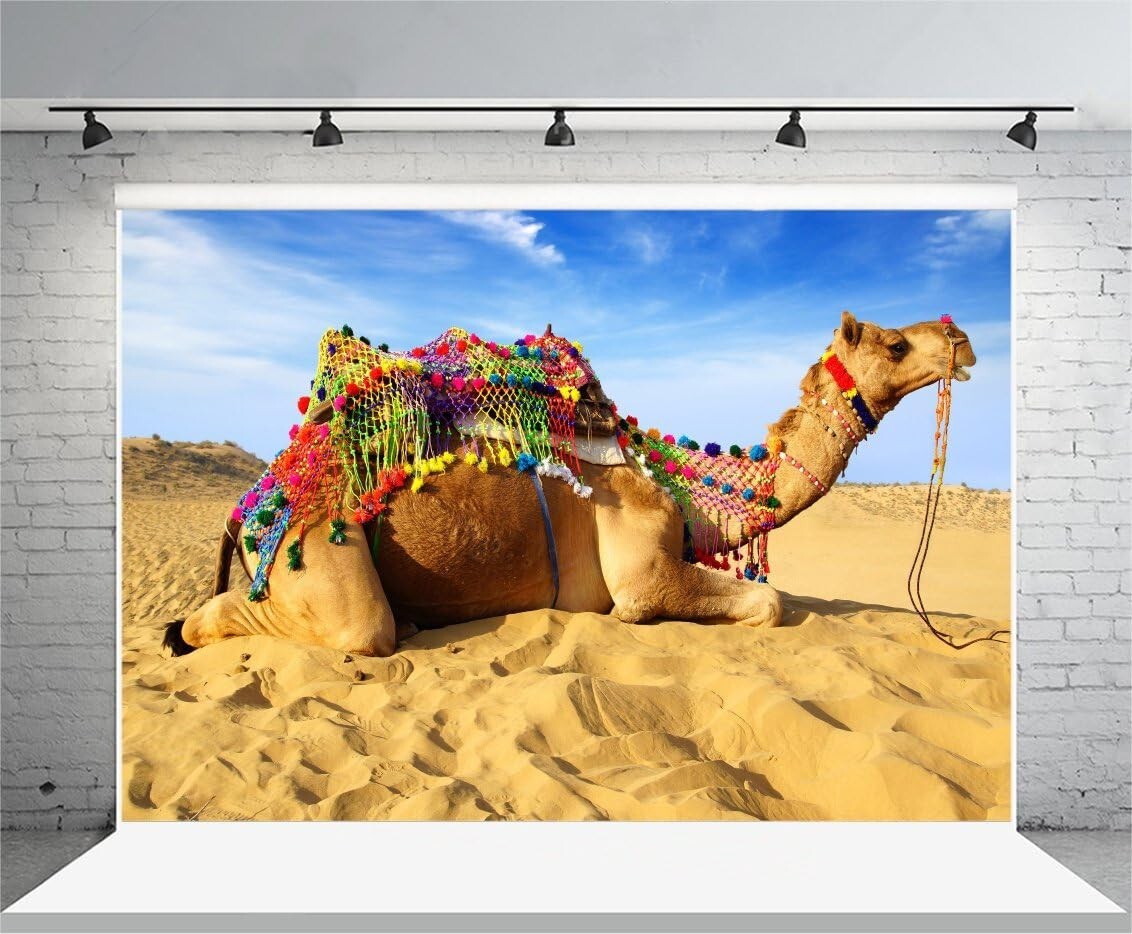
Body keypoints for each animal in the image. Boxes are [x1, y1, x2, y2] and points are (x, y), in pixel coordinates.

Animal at [163, 311, 975, 658]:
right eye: (894, 345)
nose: (961, 338)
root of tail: (253, 501)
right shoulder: (642, 569)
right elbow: (767, 603)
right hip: (313, 543)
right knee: (328, 625)